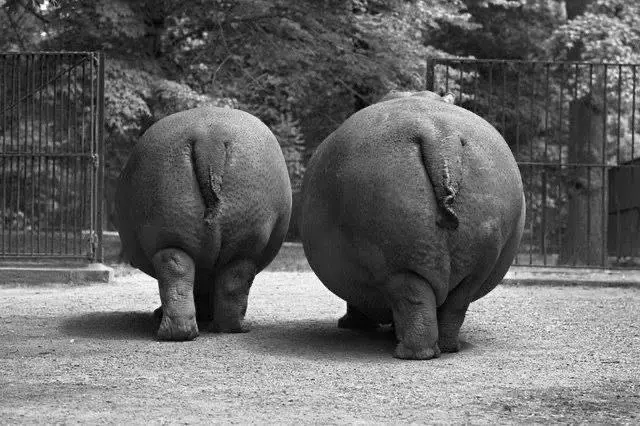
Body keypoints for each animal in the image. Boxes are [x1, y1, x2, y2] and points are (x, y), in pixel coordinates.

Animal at [115, 106, 292, 341]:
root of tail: (209, 138)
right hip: (240, 246)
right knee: (228, 279)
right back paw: (223, 329)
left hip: (173, 238)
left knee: (178, 274)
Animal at [300, 90, 525, 359]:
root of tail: (440, 136)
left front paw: (350, 324)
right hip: (477, 262)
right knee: (454, 304)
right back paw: (447, 348)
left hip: (397, 263)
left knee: (412, 300)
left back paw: (407, 352)